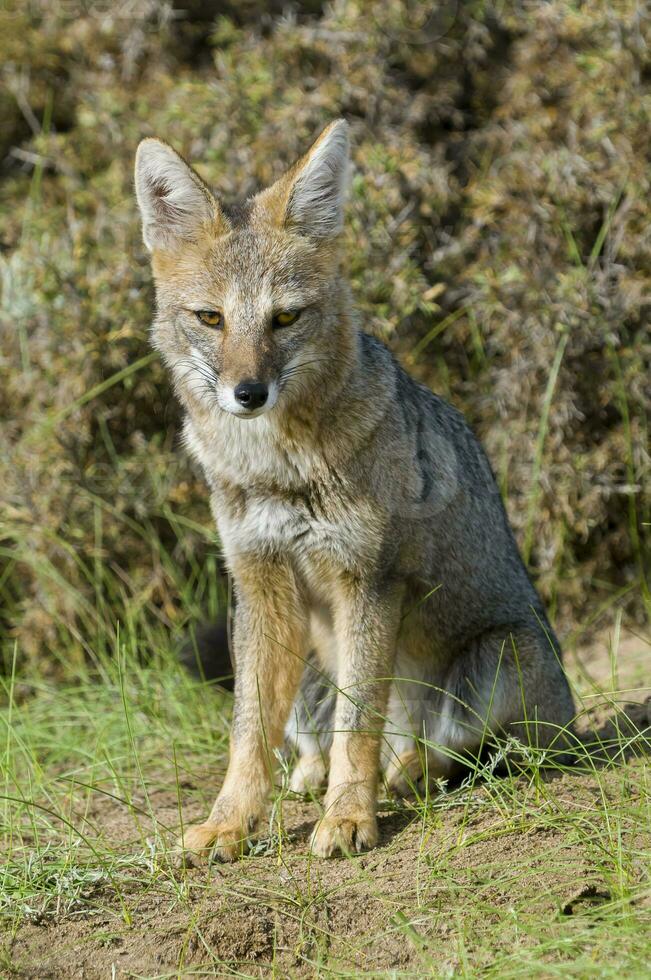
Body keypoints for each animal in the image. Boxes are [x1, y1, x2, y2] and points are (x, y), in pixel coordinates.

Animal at [135, 118, 572, 860]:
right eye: (210, 318)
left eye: (285, 319)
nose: (247, 393)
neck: (277, 468)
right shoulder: (258, 581)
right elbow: (247, 731)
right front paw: (230, 822)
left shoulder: (369, 578)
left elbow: (358, 724)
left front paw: (348, 817)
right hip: (309, 664)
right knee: (310, 736)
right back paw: (314, 778)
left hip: (491, 667)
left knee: (454, 751)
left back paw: (402, 775)